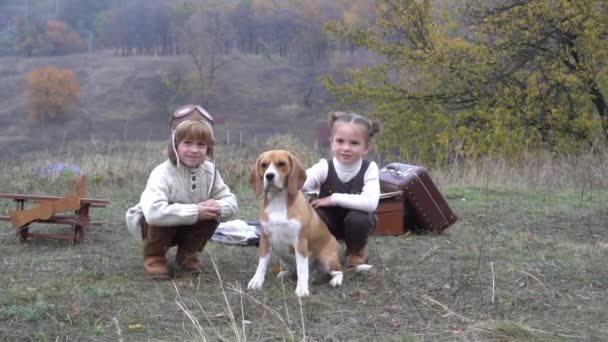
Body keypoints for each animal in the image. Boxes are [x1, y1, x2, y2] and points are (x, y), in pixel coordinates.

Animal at [247, 150, 342, 296]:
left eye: (281, 164)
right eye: (263, 165)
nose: (269, 176)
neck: (278, 200)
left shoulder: (300, 242)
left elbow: (302, 268)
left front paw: (302, 288)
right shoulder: (265, 239)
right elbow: (261, 264)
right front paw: (257, 280)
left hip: (327, 259)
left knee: (338, 271)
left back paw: (335, 280)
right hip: (283, 258)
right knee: (295, 271)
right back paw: (286, 274)